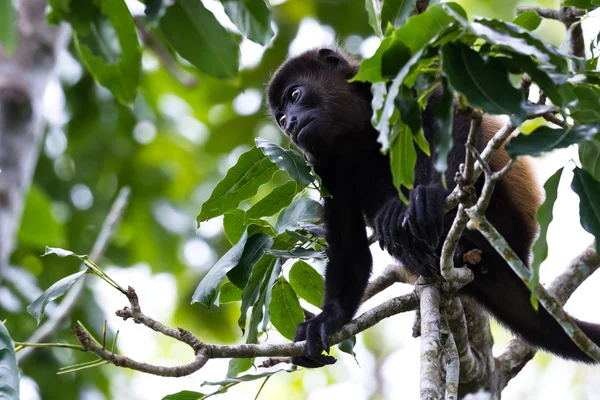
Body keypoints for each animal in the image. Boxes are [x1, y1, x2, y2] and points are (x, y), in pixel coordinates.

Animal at [268, 47, 600, 368]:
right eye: (280, 118)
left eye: (295, 95)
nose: (290, 123)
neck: (354, 125)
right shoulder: (323, 164)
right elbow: (349, 245)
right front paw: (329, 318)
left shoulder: (401, 80)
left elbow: (455, 119)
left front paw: (432, 195)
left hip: (505, 216)